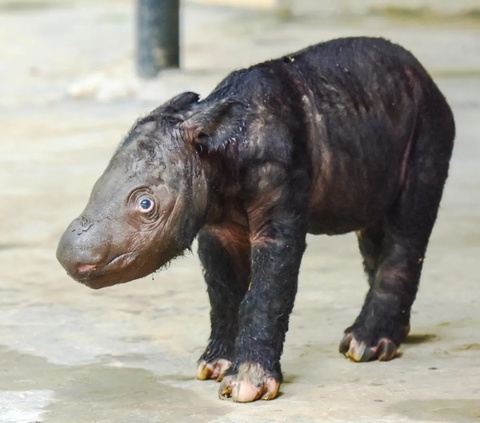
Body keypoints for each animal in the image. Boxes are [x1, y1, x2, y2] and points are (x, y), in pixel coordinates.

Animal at [56, 37, 454, 404]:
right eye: (96, 186)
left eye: (145, 203)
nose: (70, 255)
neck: (217, 146)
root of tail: (427, 78)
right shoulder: (214, 223)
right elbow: (223, 289)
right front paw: (214, 365)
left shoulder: (281, 188)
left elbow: (269, 288)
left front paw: (247, 385)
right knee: (373, 230)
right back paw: (384, 336)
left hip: (429, 124)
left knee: (408, 226)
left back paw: (368, 345)